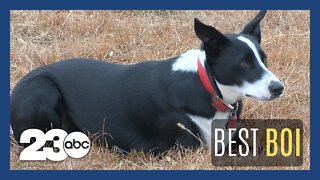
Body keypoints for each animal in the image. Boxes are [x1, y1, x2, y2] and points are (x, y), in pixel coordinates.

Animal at [11, 10, 284, 153]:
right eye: (243, 63)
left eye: (263, 59)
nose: (279, 88)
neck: (208, 87)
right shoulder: (192, 148)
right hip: (43, 89)